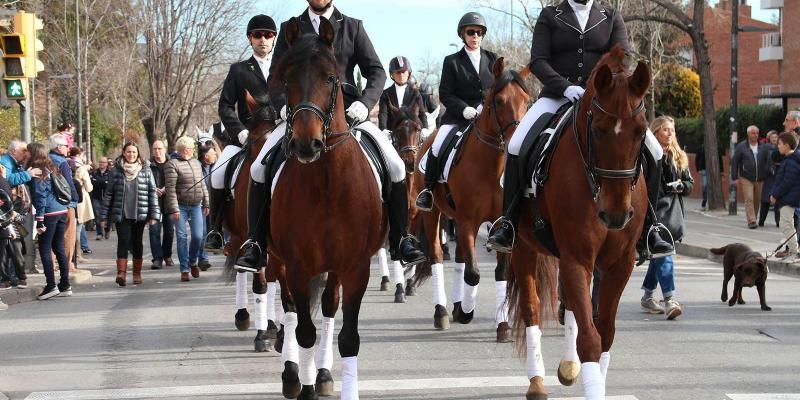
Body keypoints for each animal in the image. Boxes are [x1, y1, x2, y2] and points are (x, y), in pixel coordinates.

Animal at [262, 17, 388, 398]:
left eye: (331, 78)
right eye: (286, 78)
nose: (307, 143)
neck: (327, 184)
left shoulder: (356, 267)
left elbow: (349, 338)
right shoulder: (297, 265)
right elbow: (304, 330)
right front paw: (303, 385)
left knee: (330, 305)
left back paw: (323, 374)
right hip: (278, 260)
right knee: (289, 309)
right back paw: (293, 375)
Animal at [412, 57, 532, 340]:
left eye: (527, 100)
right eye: (498, 101)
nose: (516, 142)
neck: (491, 165)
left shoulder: (499, 226)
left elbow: (498, 272)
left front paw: (502, 326)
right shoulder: (468, 221)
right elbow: (474, 273)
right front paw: (467, 312)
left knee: (459, 259)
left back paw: (456, 307)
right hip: (433, 214)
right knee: (437, 255)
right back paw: (443, 312)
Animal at [510, 45, 652, 398]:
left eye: (641, 130)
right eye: (598, 130)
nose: (615, 215)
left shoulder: (619, 263)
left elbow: (605, 333)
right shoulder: (576, 258)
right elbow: (591, 339)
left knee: (573, 306)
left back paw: (568, 366)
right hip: (523, 248)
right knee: (532, 309)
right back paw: (537, 381)